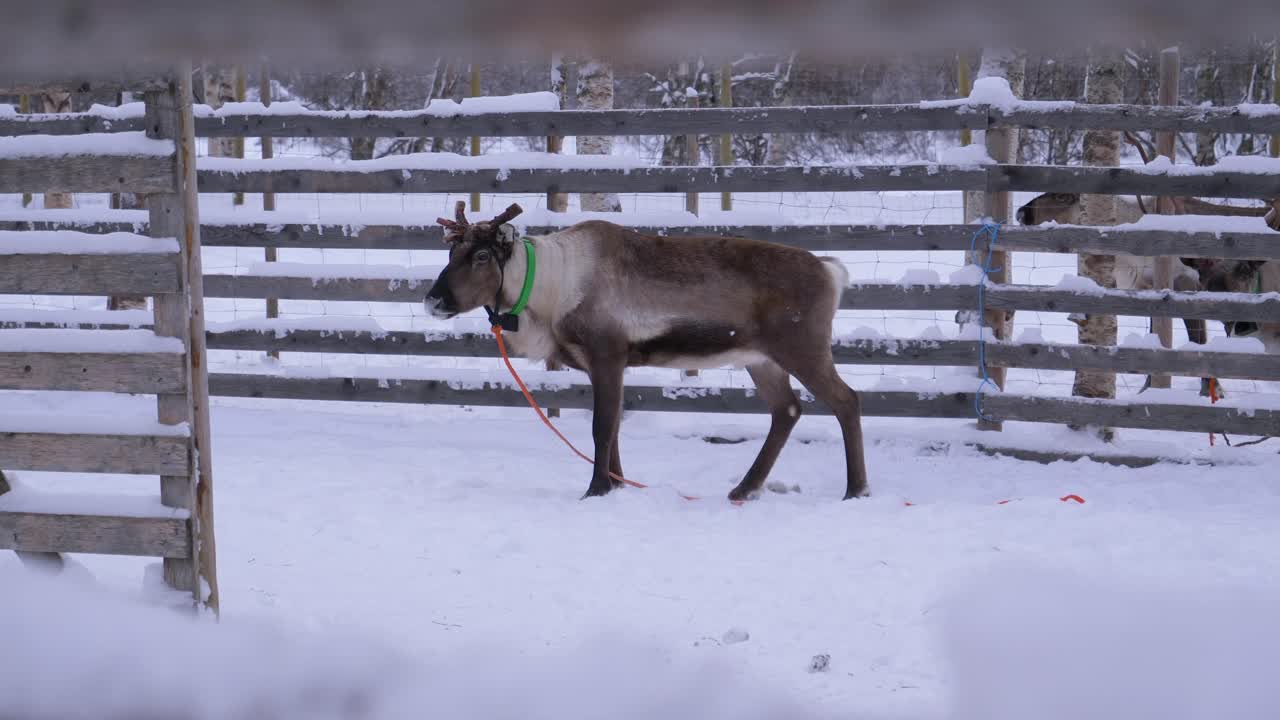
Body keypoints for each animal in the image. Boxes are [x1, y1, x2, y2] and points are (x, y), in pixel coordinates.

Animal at [424, 202, 867, 502]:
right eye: (450, 253)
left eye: (481, 256)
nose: (432, 300)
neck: (549, 291)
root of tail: (831, 271)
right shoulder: (600, 364)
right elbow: (615, 427)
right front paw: (617, 486)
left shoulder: (607, 353)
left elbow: (602, 427)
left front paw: (596, 489)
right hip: (761, 359)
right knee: (787, 410)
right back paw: (745, 488)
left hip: (802, 347)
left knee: (846, 400)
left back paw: (856, 489)